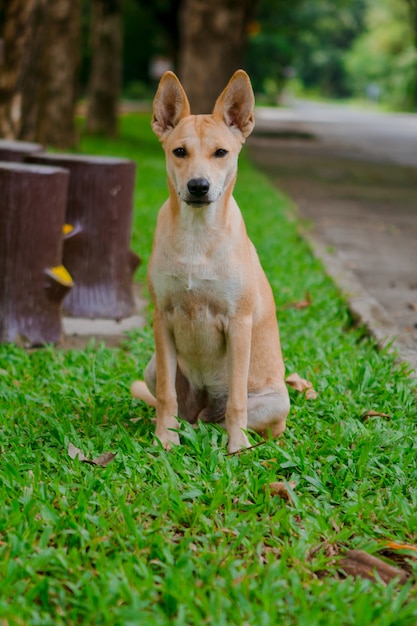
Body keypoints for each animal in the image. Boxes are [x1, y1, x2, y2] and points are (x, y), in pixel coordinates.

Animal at [132, 68, 288, 450]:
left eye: (221, 152)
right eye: (179, 151)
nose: (198, 186)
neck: (196, 236)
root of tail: (204, 411)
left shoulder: (238, 323)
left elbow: (237, 401)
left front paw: (237, 449)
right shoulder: (163, 318)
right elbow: (166, 395)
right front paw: (164, 441)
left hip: (277, 401)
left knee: (242, 418)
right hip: (154, 366)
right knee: (180, 407)